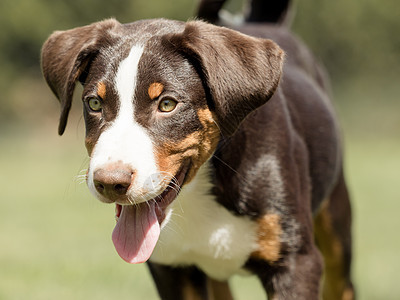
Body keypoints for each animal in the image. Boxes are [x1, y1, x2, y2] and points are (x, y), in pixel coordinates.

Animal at [41, 0, 354, 298]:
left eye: (167, 104)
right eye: (95, 103)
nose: (109, 182)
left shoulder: (294, 263)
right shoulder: (172, 267)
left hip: (336, 227)